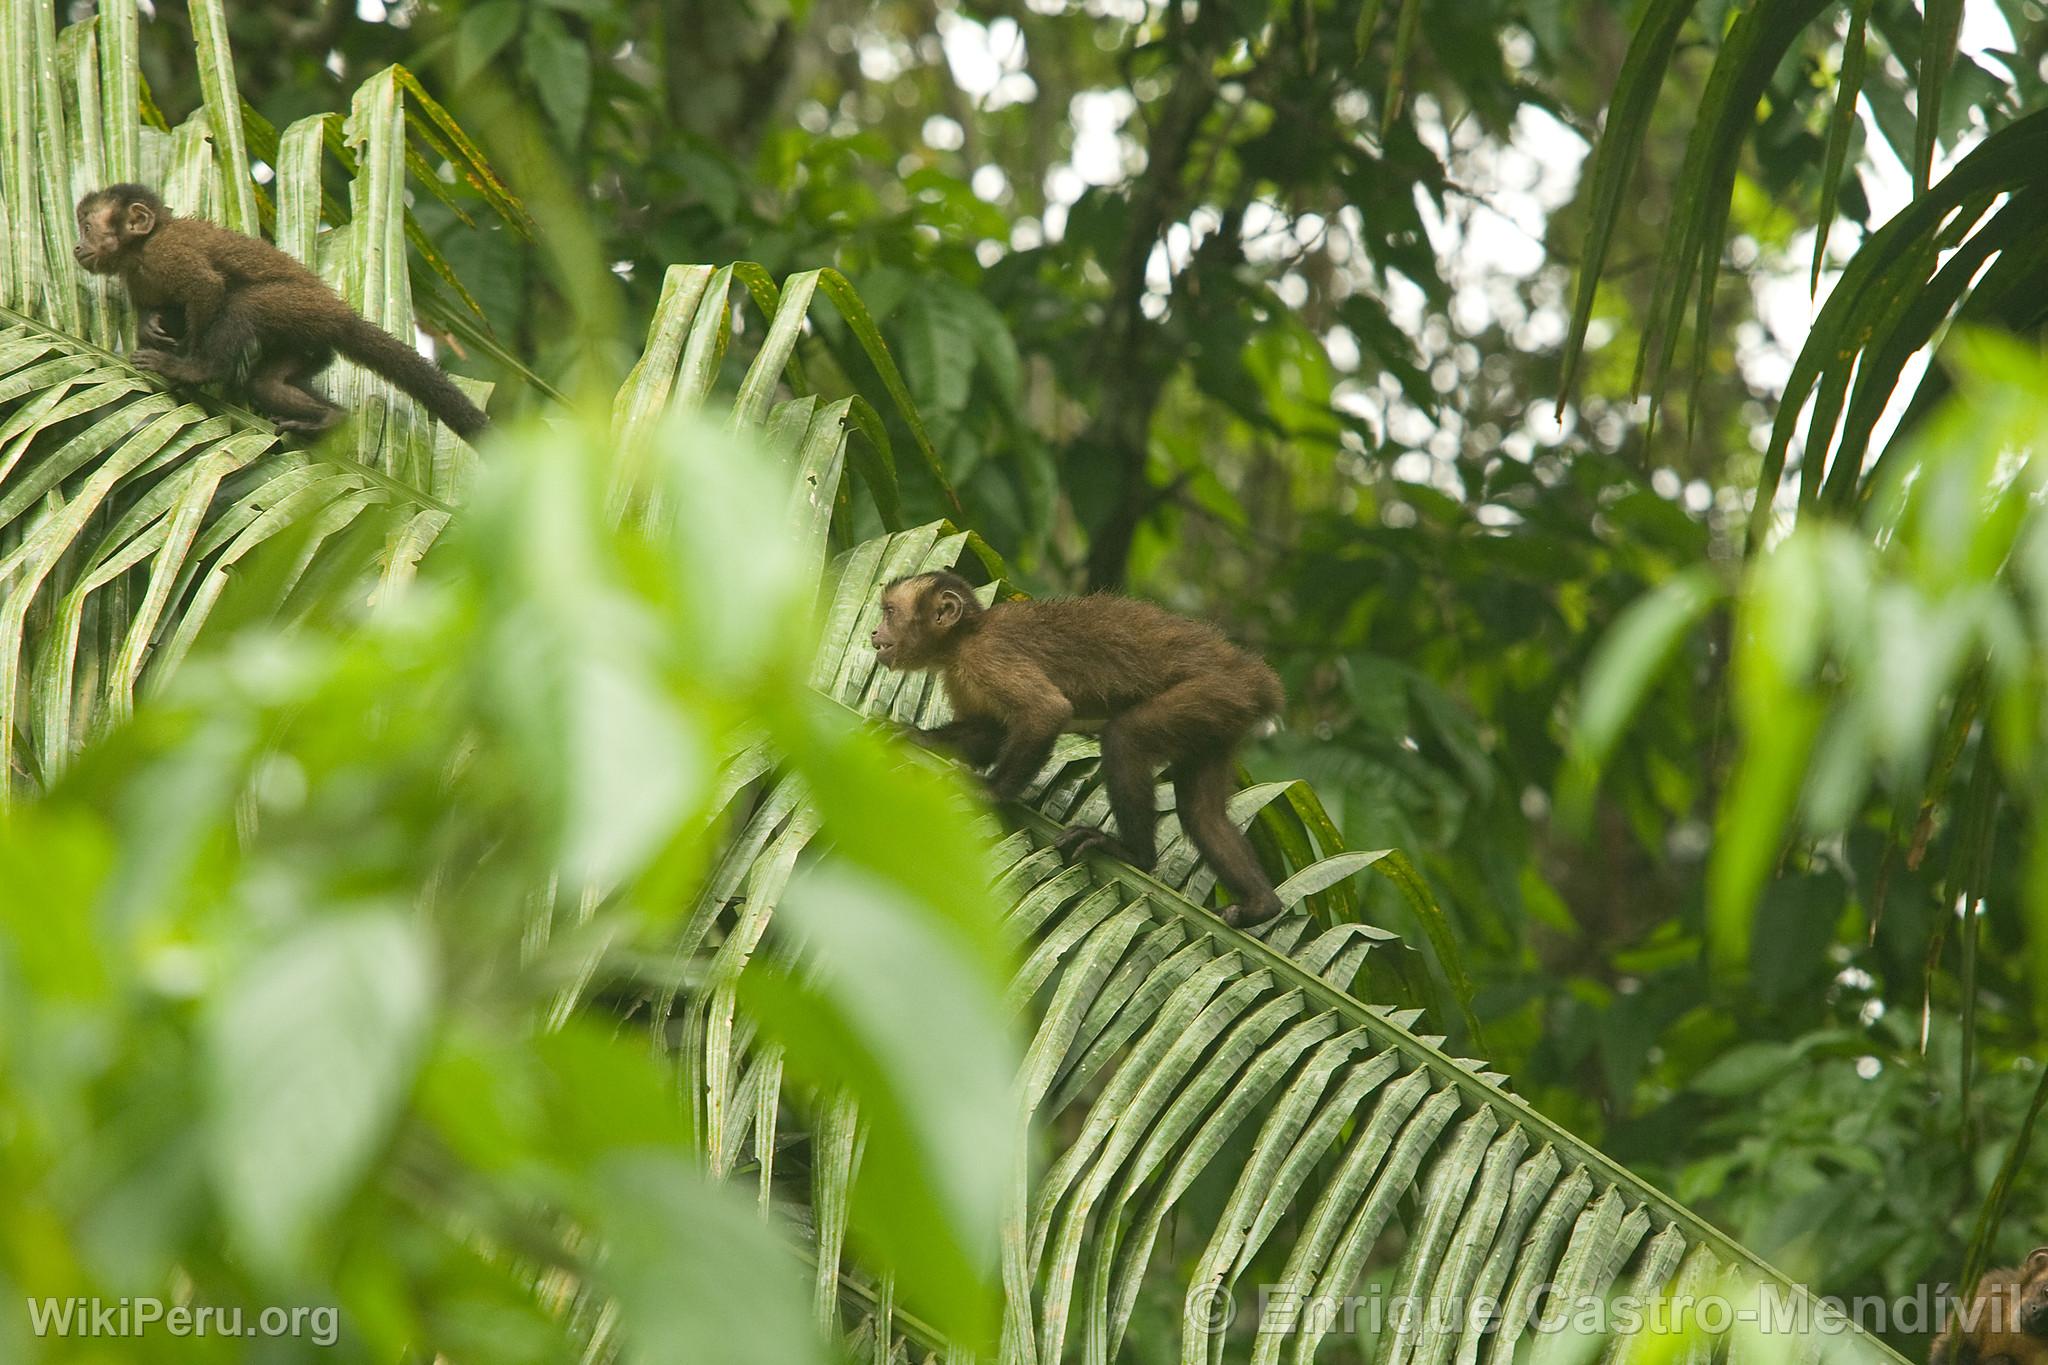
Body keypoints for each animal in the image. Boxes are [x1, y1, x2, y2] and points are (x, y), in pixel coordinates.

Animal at [71, 184, 487, 439]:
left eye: (88, 227)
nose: (77, 246)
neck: (141, 250)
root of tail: (341, 314)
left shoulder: (168, 252)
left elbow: (207, 289)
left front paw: (191, 367)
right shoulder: (137, 275)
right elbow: (165, 308)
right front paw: (151, 325)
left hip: (301, 308)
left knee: (244, 305)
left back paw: (206, 367)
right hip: (310, 341)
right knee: (269, 383)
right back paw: (331, 419)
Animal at [872, 564, 1286, 929]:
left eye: (890, 612)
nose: (875, 632)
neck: (962, 640)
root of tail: (1256, 677)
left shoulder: (986, 655)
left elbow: (1045, 712)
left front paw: (991, 792)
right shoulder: (961, 676)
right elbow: (988, 735)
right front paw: (918, 738)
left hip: (1213, 692)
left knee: (1125, 738)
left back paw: (1135, 855)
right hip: (1224, 716)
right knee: (1202, 812)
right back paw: (1261, 905)